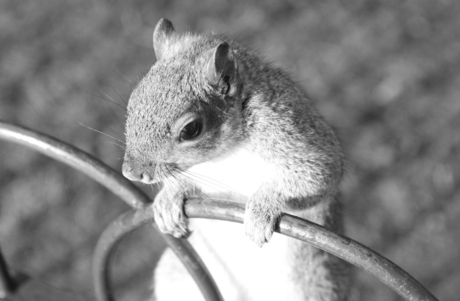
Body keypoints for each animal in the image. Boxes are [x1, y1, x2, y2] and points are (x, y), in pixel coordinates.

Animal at [120, 18, 350, 300]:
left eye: (190, 129)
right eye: (132, 103)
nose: (131, 172)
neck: (220, 157)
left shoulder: (290, 133)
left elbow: (317, 174)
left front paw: (261, 209)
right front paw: (168, 199)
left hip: (313, 285)